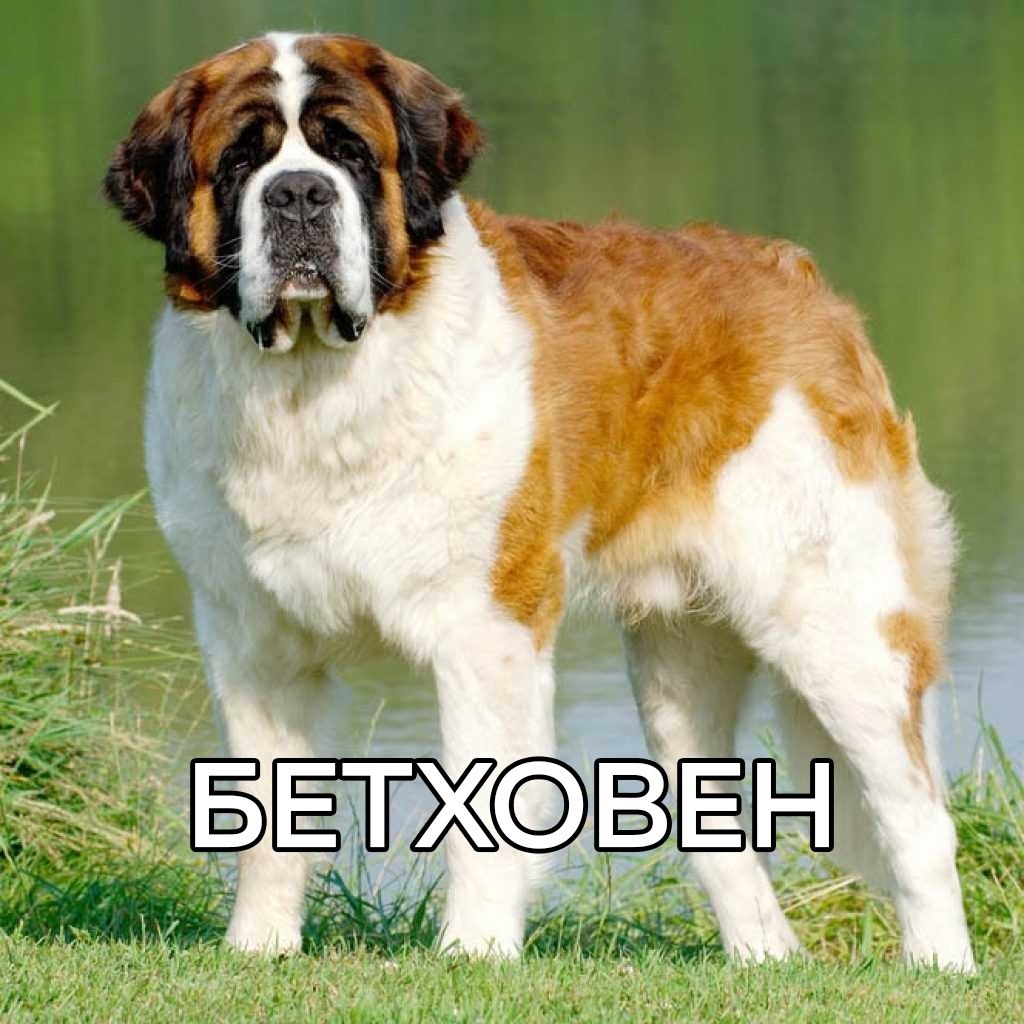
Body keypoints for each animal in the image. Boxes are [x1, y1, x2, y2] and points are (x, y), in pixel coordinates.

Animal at [104, 32, 974, 969]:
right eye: (239, 161)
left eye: (350, 153)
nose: (299, 193)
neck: (313, 391)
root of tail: (803, 280)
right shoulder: (252, 641)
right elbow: (266, 821)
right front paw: (257, 950)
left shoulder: (486, 628)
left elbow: (479, 812)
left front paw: (473, 953)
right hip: (679, 664)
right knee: (720, 833)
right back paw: (764, 958)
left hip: (838, 624)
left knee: (917, 817)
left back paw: (940, 967)